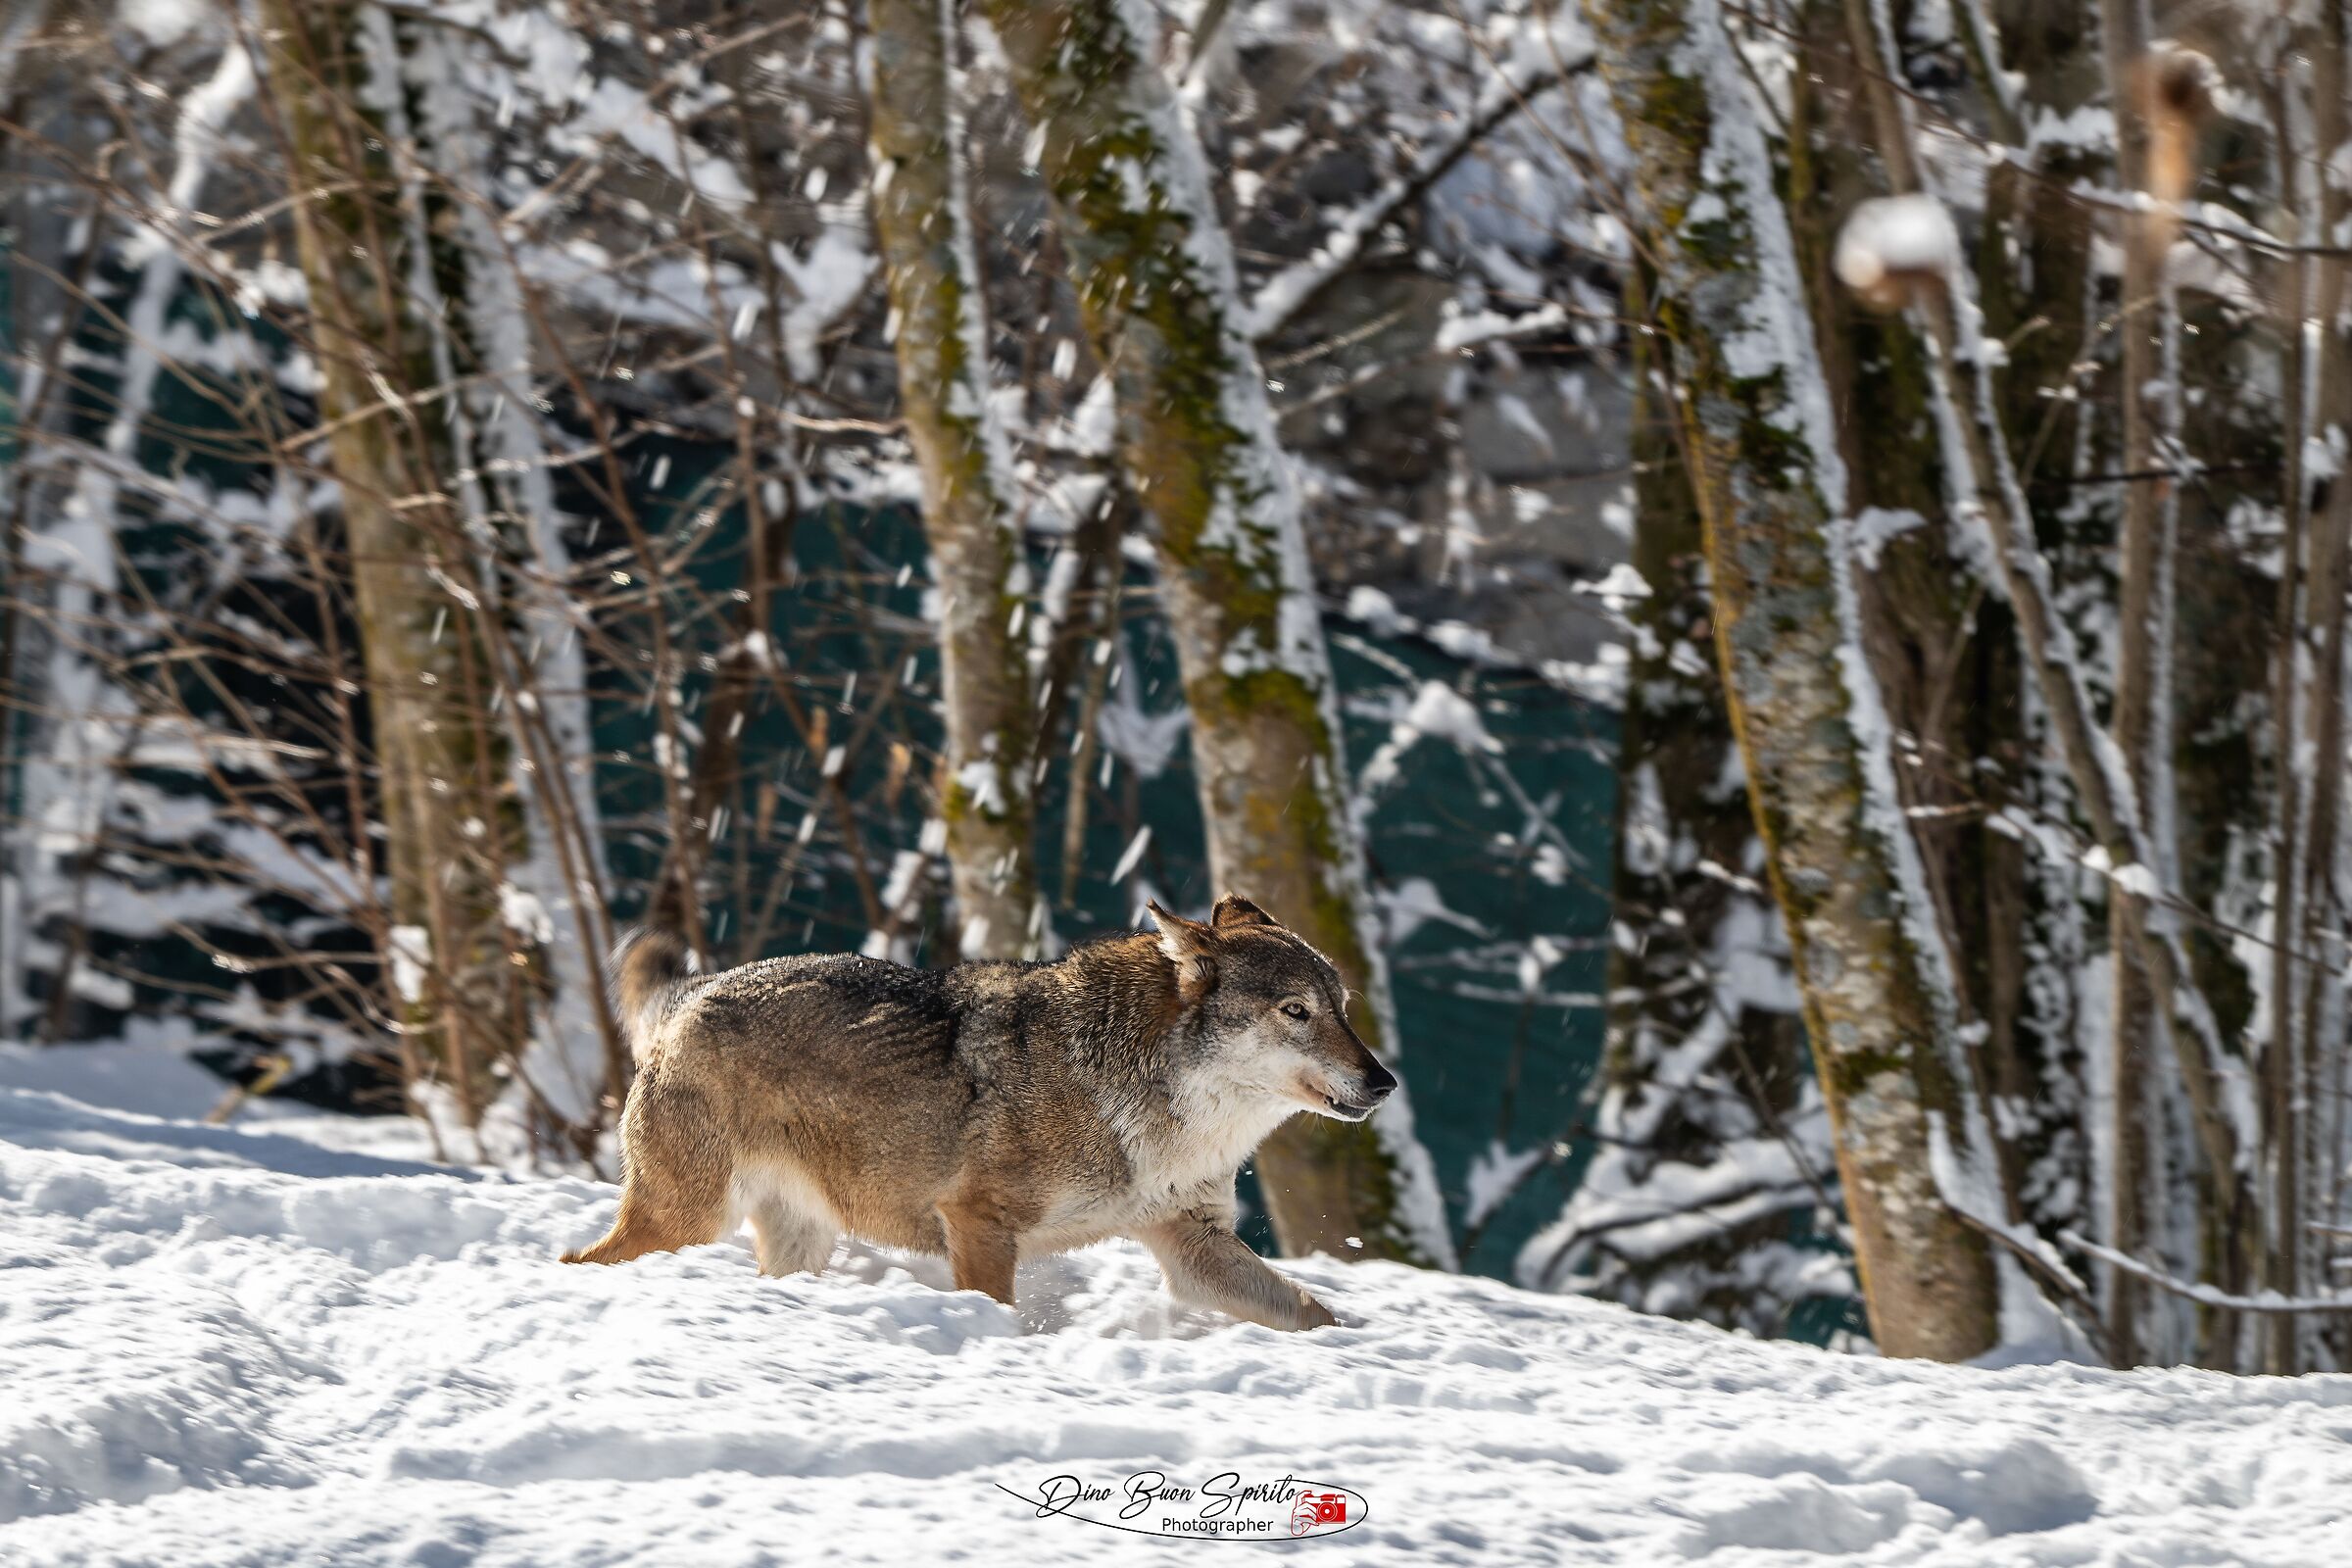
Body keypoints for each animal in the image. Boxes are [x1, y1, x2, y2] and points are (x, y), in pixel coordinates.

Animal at [559, 894, 1398, 1330]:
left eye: (1344, 1009)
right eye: (1296, 1012)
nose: (1385, 1080)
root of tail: (690, 994)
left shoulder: (1194, 1242)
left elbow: (1313, 1312)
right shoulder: (978, 1223)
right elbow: (994, 1306)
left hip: (794, 1240)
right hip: (688, 1221)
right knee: (579, 1261)